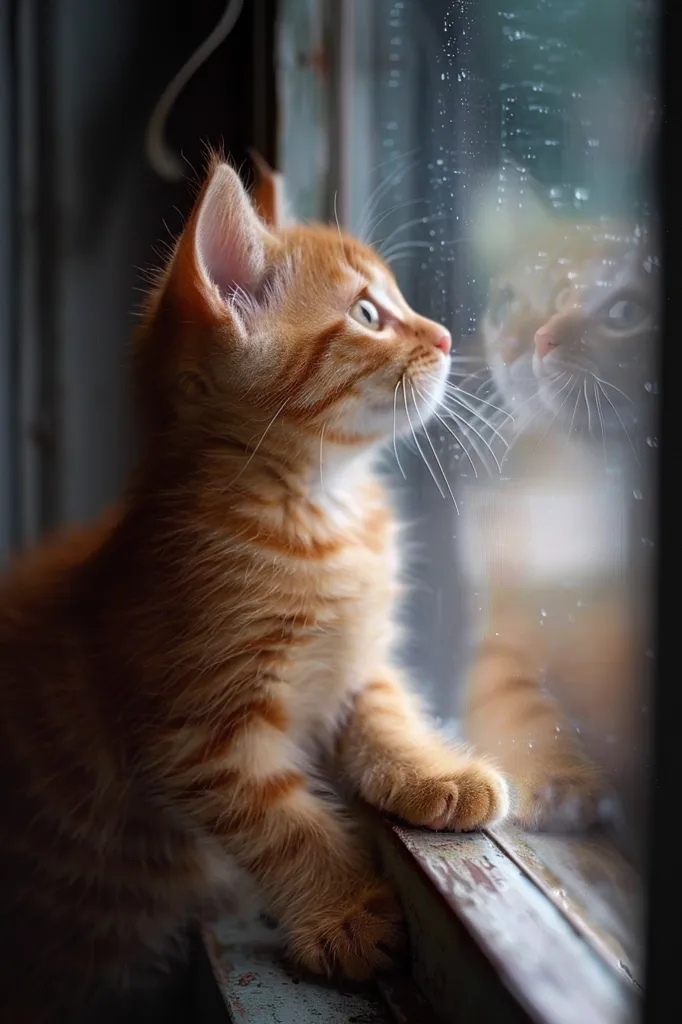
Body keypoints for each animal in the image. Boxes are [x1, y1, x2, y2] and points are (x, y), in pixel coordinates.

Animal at [0, 155, 503, 1019]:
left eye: (398, 302)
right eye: (367, 313)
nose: (441, 334)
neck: (320, 513)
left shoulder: (355, 657)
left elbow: (383, 706)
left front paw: (435, 772)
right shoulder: (196, 733)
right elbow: (284, 821)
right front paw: (345, 912)